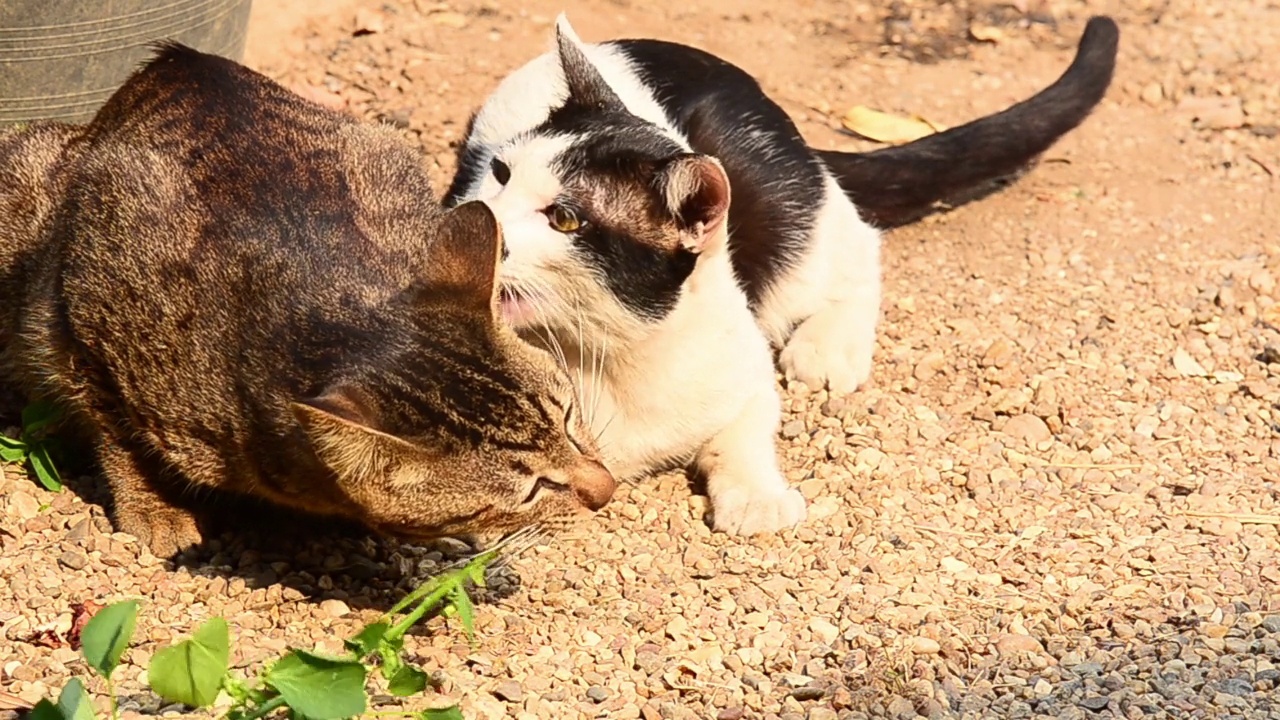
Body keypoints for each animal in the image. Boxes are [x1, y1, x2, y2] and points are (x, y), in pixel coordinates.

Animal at [448, 16, 1121, 532]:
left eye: (564, 218)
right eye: (501, 174)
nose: (472, 218)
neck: (604, 351)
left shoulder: (738, 362)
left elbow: (746, 427)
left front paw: (756, 498)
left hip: (778, 206)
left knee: (856, 245)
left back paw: (828, 348)